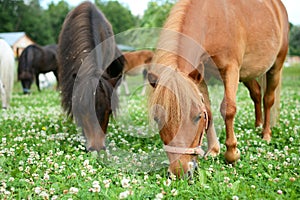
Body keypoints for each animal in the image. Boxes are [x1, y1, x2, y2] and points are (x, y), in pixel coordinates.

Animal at [149, 0, 290, 178]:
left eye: (197, 117)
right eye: (157, 118)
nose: (180, 172)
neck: (210, 20)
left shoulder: (231, 70)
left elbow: (228, 109)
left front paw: (232, 154)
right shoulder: (200, 76)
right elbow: (209, 111)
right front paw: (214, 150)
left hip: (275, 67)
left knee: (268, 99)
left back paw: (266, 134)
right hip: (248, 74)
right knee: (257, 94)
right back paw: (257, 125)